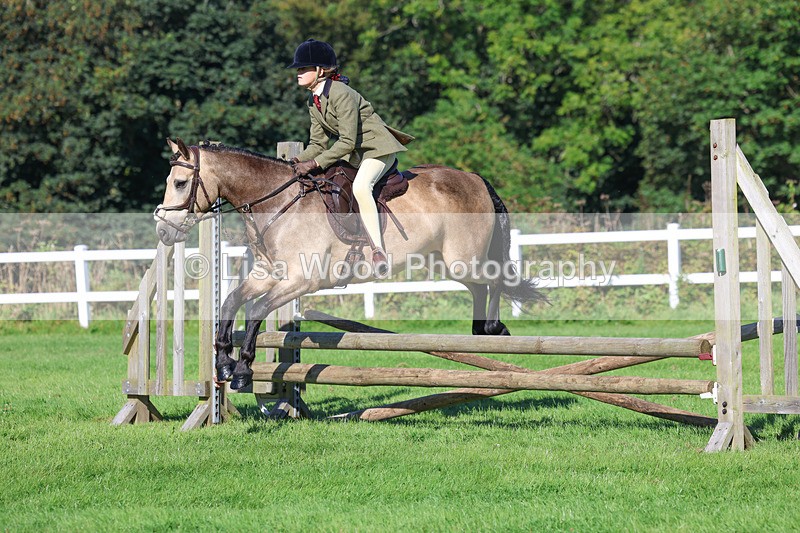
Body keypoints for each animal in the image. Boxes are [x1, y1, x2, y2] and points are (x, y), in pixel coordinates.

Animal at [155, 138, 544, 390]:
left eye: (180, 182)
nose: (163, 230)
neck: (278, 202)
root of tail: (475, 178)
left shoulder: (301, 281)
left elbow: (256, 310)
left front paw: (242, 370)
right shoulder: (268, 274)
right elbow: (231, 301)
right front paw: (223, 362)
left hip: (463, 259)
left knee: (493, 279)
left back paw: (493, 329)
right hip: (444, 261)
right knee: (480, 286)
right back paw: (483, 331)